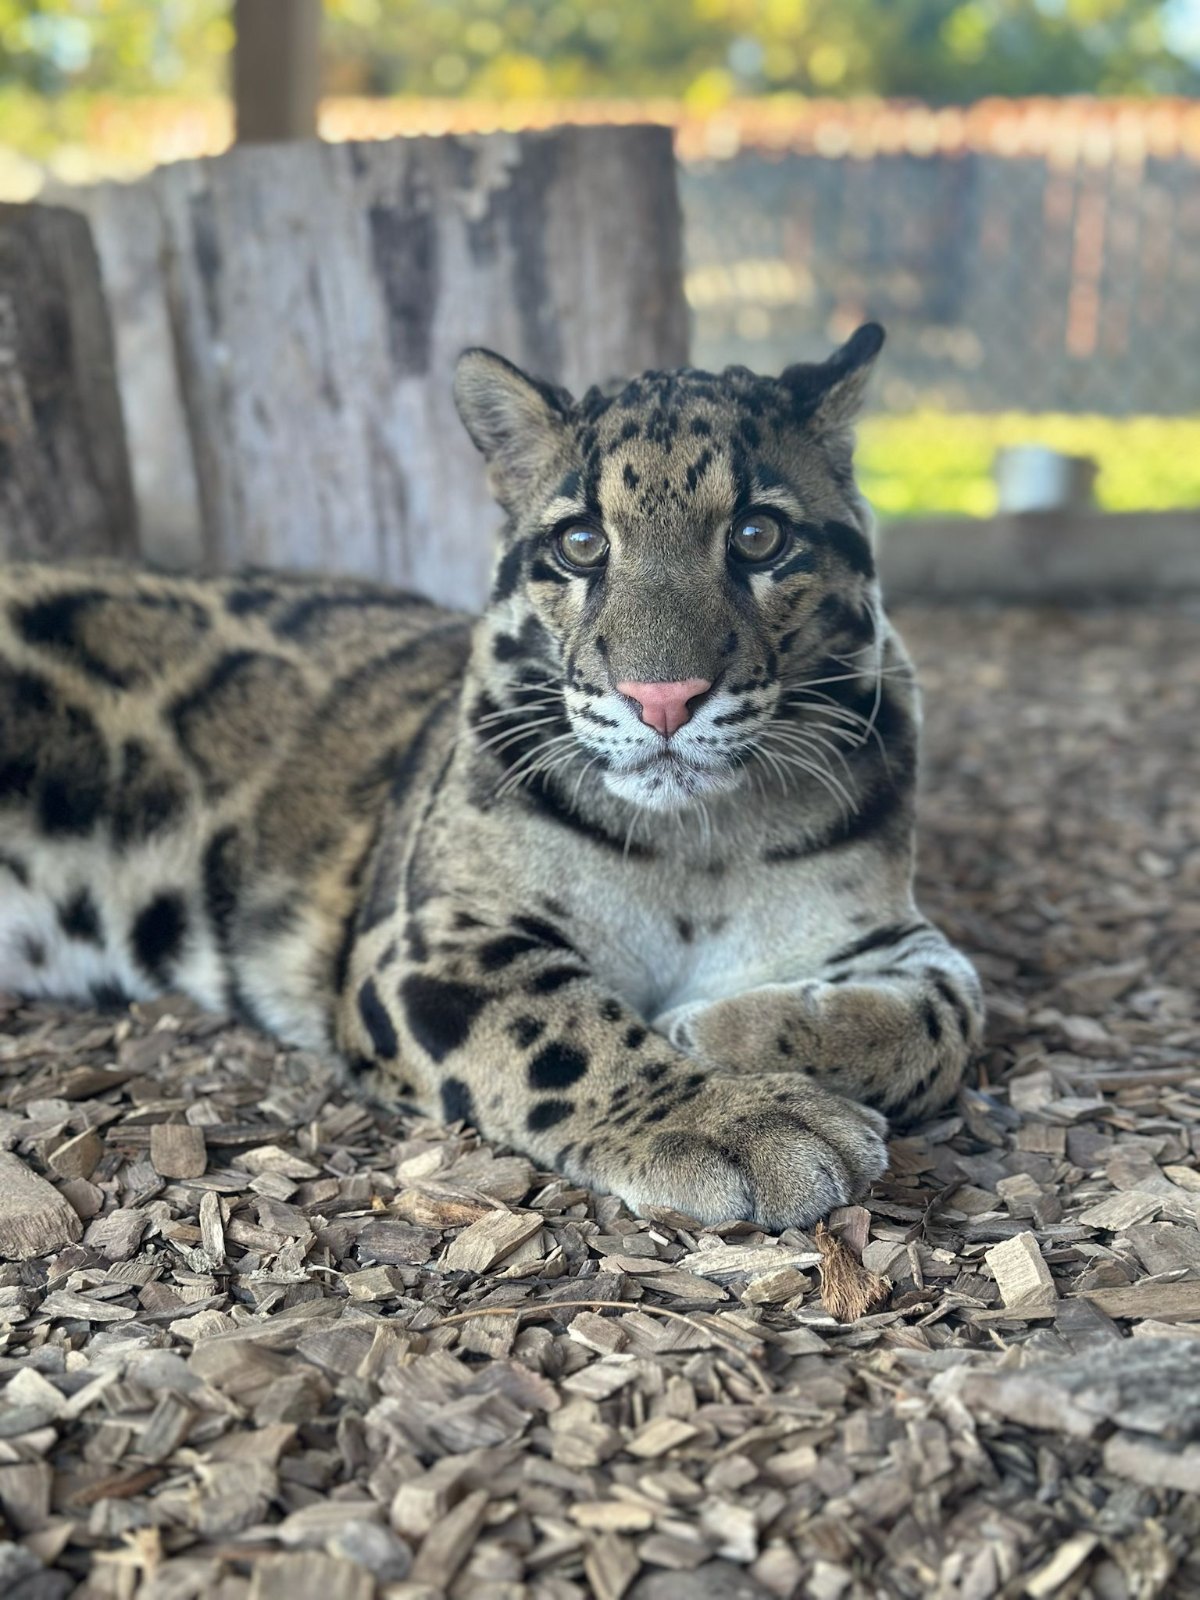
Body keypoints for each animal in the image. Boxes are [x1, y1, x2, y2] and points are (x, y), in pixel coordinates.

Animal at [0, 322, 983, 1231]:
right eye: (582, 543)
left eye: (758, 535)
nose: (662, 698)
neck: (696, 845)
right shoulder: (428, 938)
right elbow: (563, 1031)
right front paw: (738, 1119)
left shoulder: (879, 927)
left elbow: (950, 1014)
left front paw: (725, 1030)